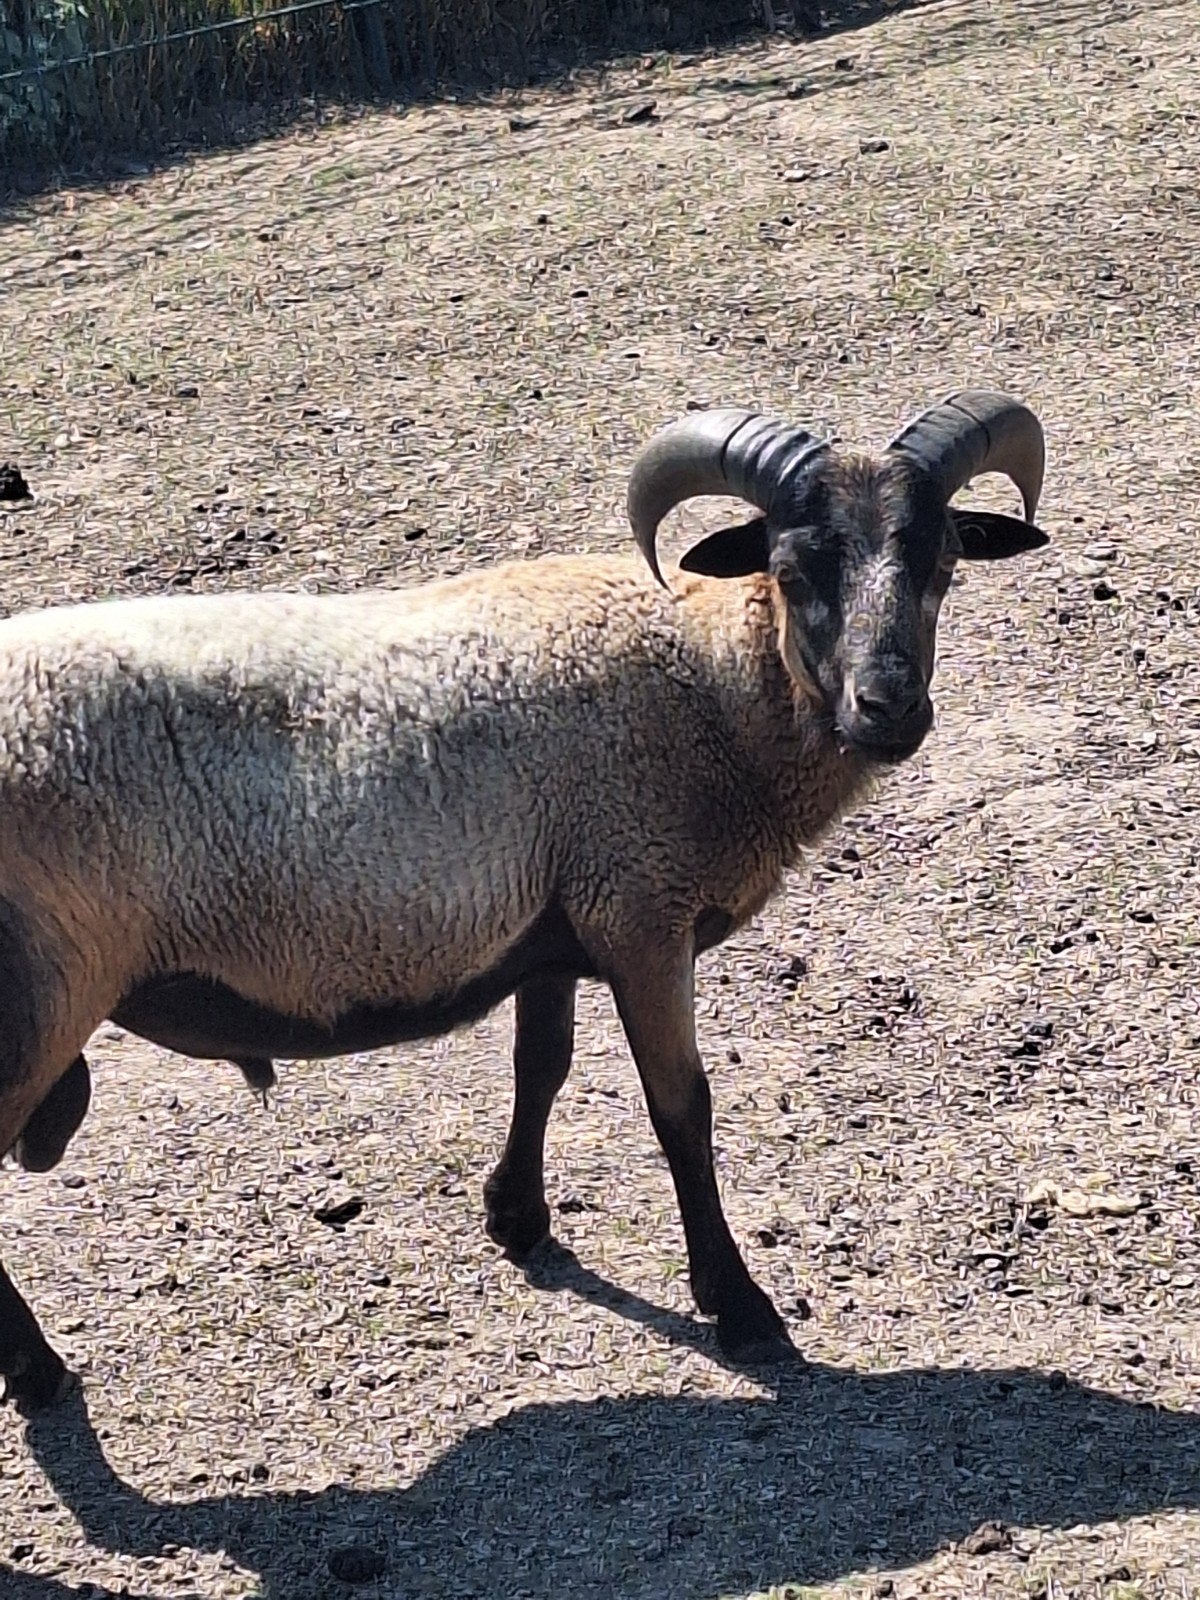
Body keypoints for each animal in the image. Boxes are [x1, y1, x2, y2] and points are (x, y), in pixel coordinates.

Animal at [0, 389, 1050, 1412]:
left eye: (944, 564)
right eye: (792, 571)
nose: (890, 709)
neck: (708, 679)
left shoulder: (556, 929)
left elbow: (540, 1067)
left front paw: (516, 1217)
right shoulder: (642, 913)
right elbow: (682, 1108)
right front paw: (740, 1306)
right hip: (41, 1000)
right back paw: (40, 1376)